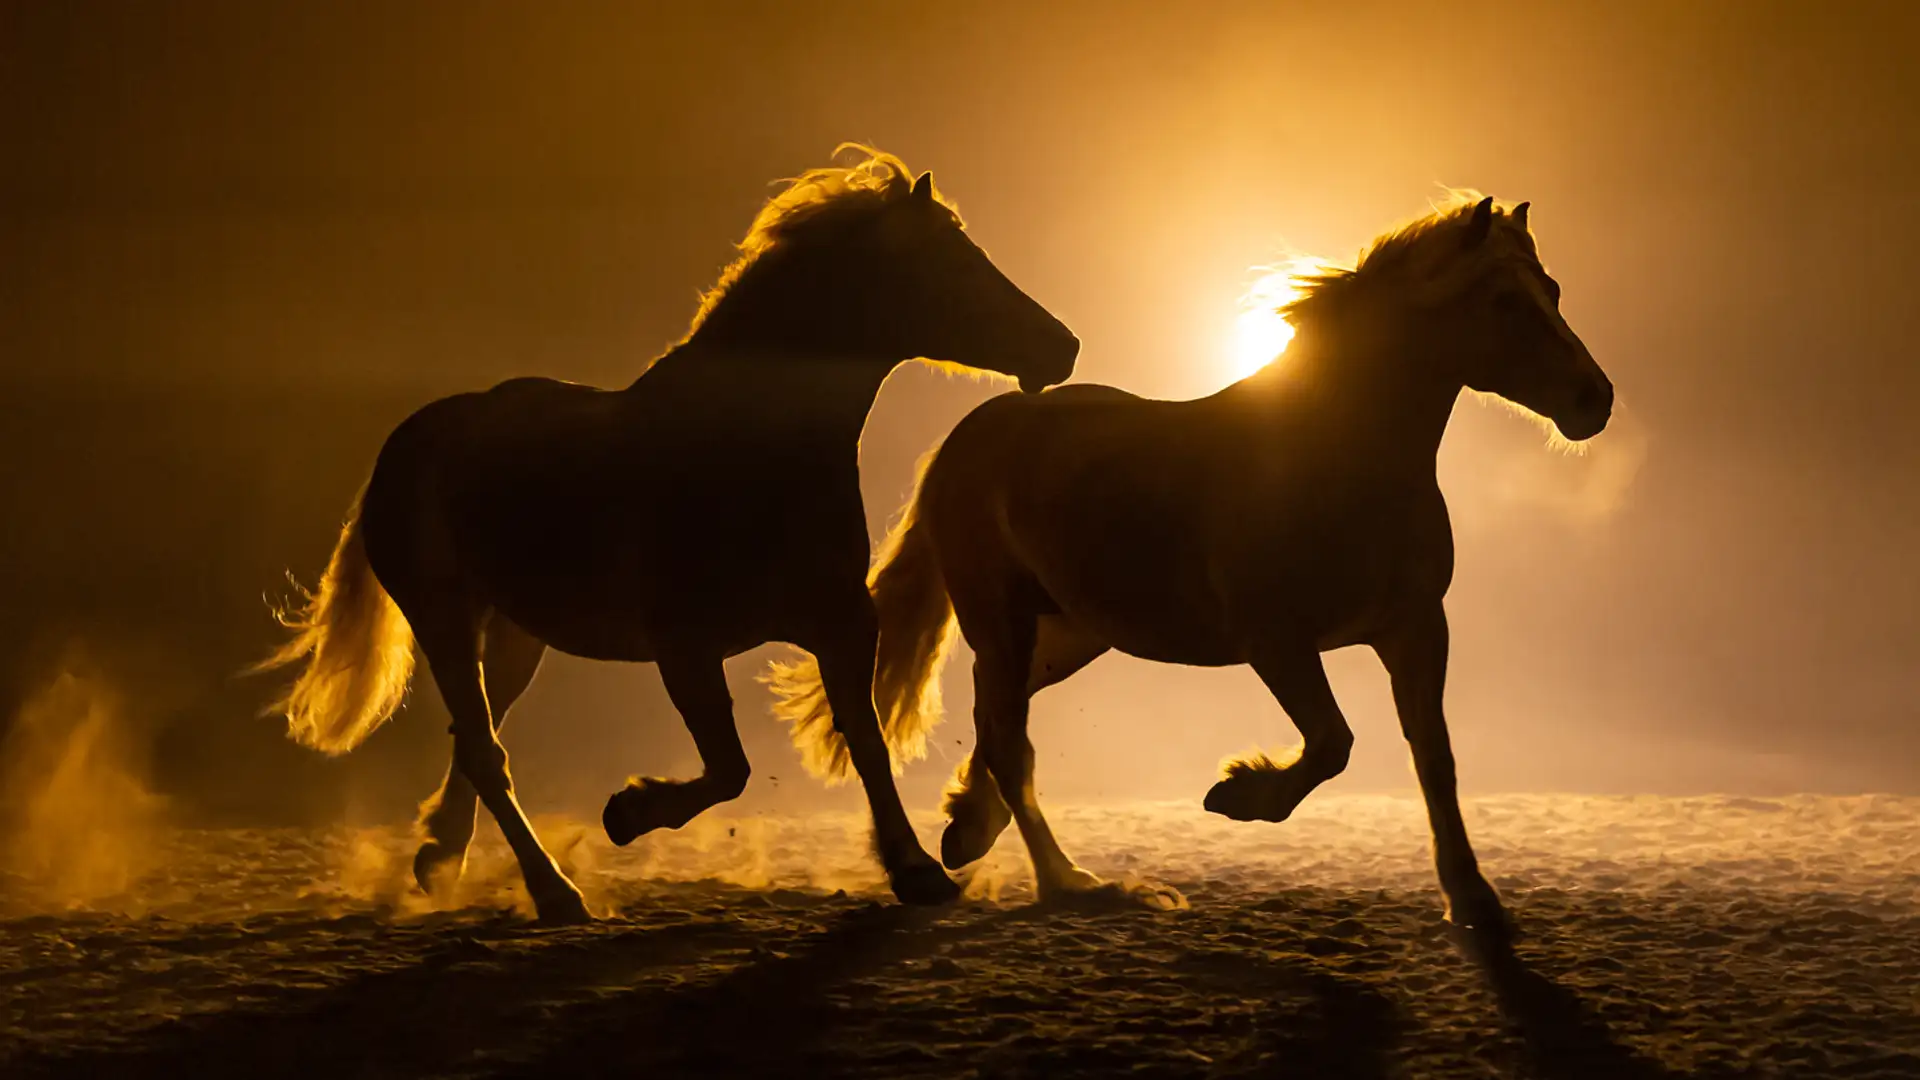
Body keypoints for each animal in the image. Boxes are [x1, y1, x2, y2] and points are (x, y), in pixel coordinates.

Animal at [249, 146, 1080, 924]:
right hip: (442, 616)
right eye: (957, 264)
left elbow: (865, 744)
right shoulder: (684, 645)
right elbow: (730, 768)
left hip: (514, 635)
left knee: (474, 740)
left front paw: (918, 873)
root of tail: (408, 441)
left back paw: (440, 859)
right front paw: (628, 812)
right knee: (486, 753)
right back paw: (554, 893)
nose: (1062, 346)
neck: (748, 453)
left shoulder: (841, 623)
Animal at [767, 194, 1612, 942]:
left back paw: (969, 832)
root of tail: (975, 430)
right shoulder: (1276, 640)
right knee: (1008, 741)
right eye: (1504, 301)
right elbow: (1333, 742)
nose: (1593, 400)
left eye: (1553, 292)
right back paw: (1069, 884)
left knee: (998, 722)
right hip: (1001, 620)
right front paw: (1238, 795)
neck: (1338, 457)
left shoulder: (1414, 629)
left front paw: (1475, 901)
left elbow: (1435, 759)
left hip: (1069, 635)